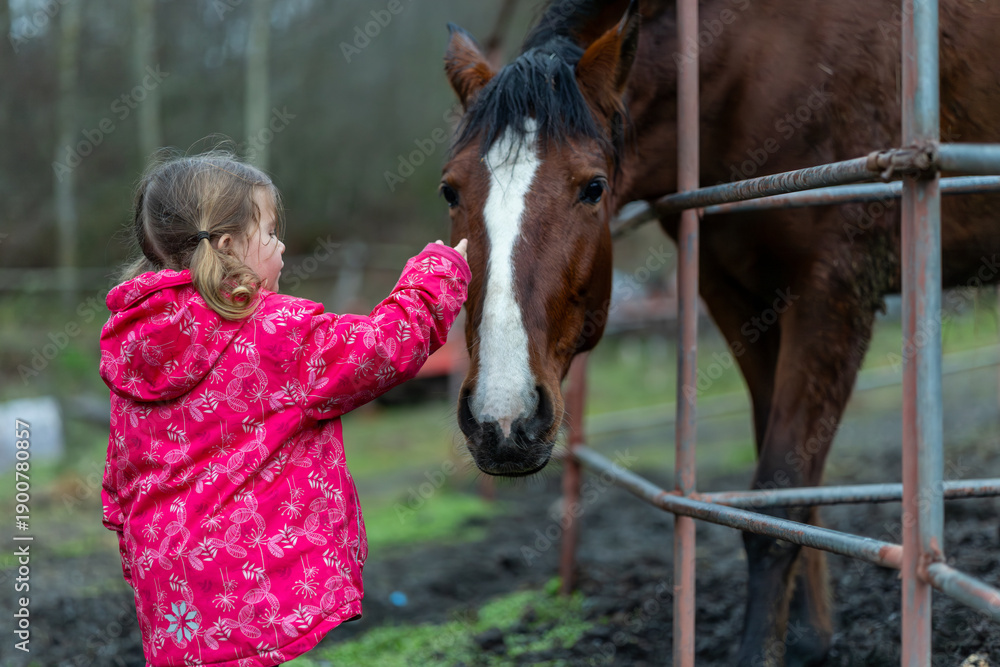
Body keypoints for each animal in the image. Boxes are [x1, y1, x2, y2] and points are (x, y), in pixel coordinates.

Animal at [440, 0, 1000, 664]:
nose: (503, 421)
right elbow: (775, 491)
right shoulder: (739, 296)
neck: (759, 61)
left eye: (594, 187)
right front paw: (808, 637)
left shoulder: (834, 290)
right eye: (450, 190)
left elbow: (780, 485)